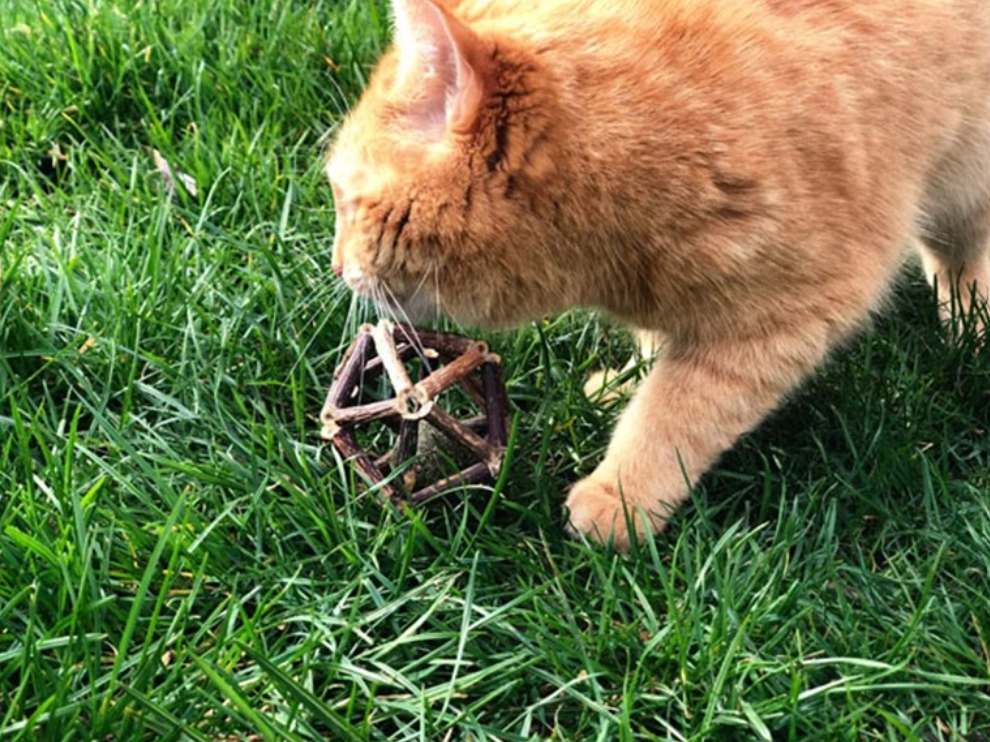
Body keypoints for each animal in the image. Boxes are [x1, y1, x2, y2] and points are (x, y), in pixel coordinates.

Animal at [330, 0, 990, 548]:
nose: (337, 265)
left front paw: (619, 498)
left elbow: (677, 410)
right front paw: (626, 383)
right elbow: (656, 357)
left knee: (965, 262)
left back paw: (970, 336)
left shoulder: (788, 316)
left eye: (344, 196)